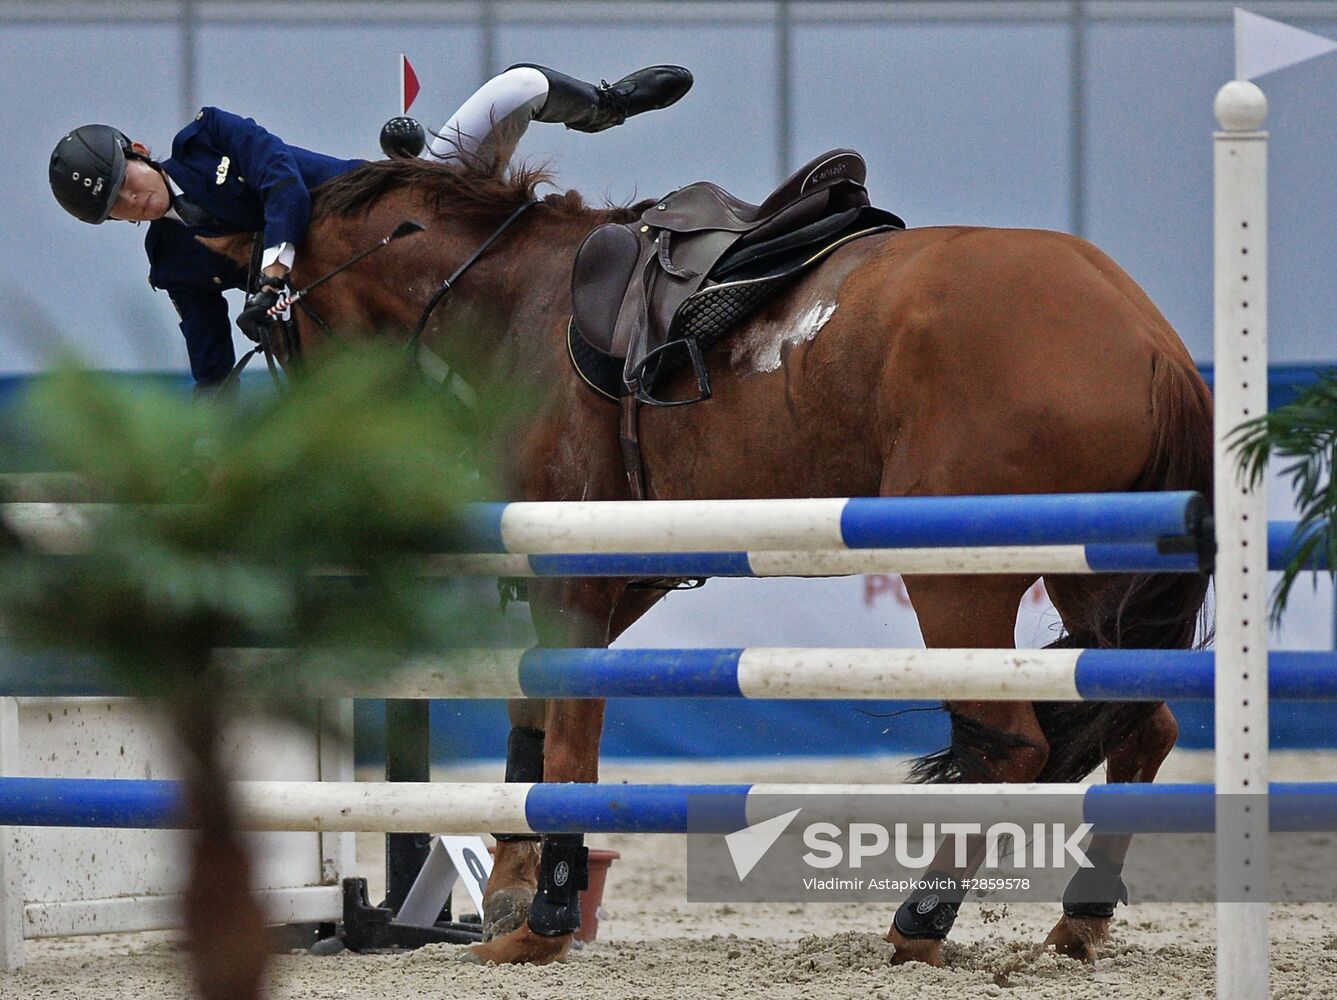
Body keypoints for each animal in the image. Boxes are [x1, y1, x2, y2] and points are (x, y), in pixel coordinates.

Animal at [208, 158, 1213, 967]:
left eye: (275, 328)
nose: (314, 439)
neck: (520, 297)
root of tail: (1149, 339)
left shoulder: (579, 575)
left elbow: (569, 741)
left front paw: (545, 919)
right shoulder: (608, 577)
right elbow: (535, 716)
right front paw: (510, 891)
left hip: (960, 579)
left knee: (1014, 746)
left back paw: (920, 924)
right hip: (1088, 578)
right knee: (1142, 726)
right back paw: (1078, 920)